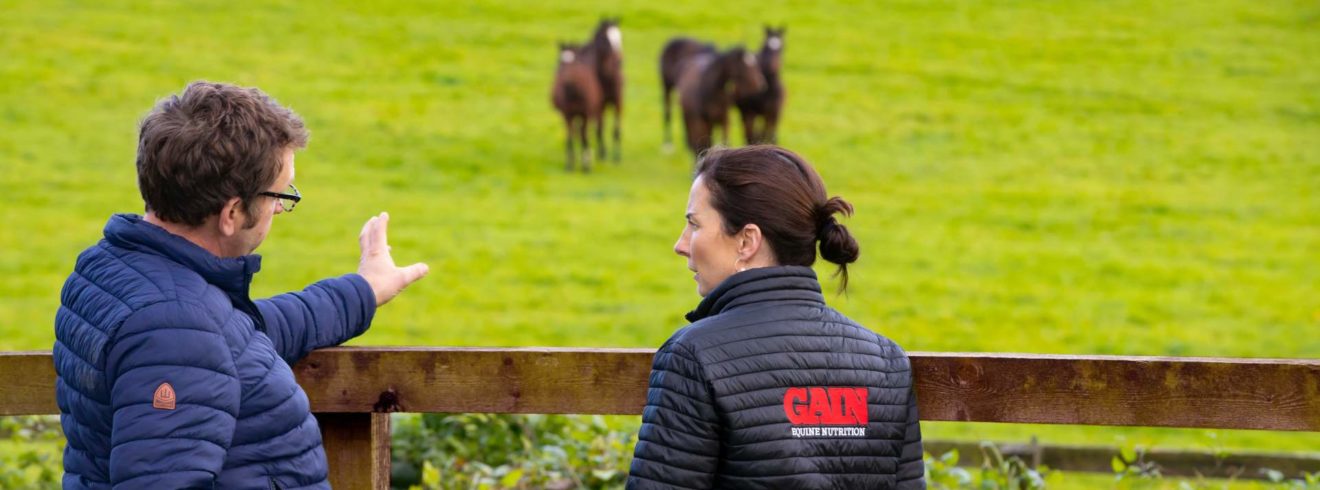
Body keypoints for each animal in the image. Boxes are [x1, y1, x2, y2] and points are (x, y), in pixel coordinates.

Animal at [551, 42, 604, 174]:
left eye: (574, 62)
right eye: (560, 61)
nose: (565, 78)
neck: (574, 93)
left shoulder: (585, 114)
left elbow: (584, 137)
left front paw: (586, 166)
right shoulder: (567, 115)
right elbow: (569, 138)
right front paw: (569, 165)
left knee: (582, 133)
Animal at [575, 18, 620, 162]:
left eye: (620, 38)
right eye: (606, 39)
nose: (619, 61)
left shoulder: (615, 102)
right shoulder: (598, 105)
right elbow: (599, 128)